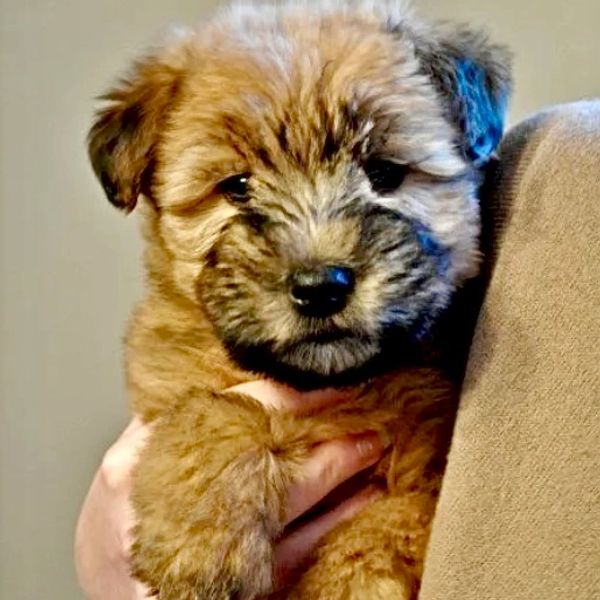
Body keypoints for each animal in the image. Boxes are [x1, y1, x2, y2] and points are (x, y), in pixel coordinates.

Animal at [88, 2, 510, 596]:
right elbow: (213, 411)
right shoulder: (168, 385)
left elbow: (377, 532)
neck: (329, 386)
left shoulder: (425, 475)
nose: (320, 287)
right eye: (237, 187)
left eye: (383, 173)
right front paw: (202, 548)